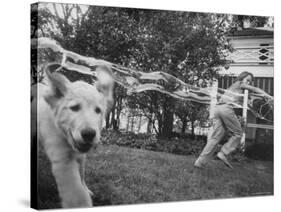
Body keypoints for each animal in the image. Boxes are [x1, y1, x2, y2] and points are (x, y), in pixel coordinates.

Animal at [30, 63, 114, 209]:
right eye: (74, 108)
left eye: (98, 110)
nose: (89, 134)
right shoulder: (63, 160)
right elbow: (76, 194)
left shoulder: (81, 156)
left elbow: (81, 174)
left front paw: (86, 189)